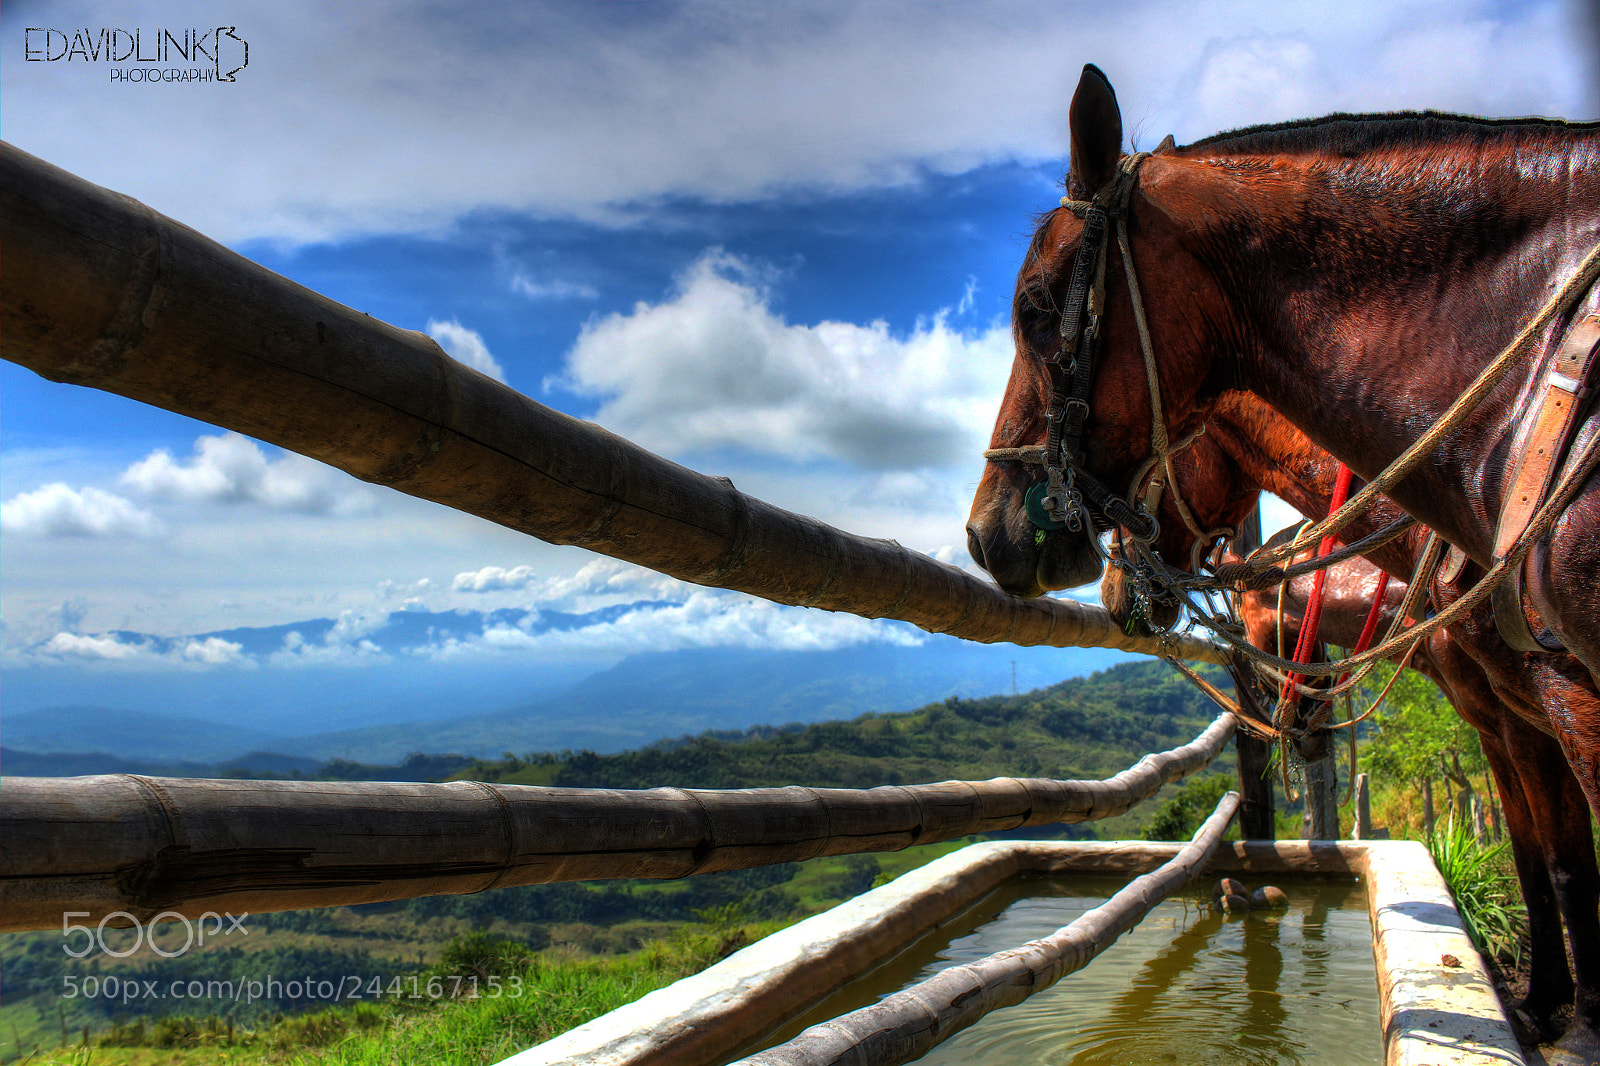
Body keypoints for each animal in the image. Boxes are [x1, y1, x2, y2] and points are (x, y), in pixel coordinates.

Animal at [1095, 394, 1599, 1055]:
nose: (1111, 588)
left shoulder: (1549, 718)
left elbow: (1569, 867)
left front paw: (1574, 1023)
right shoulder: (1501, 727)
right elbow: (1530, 856)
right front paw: (1542, 1003)